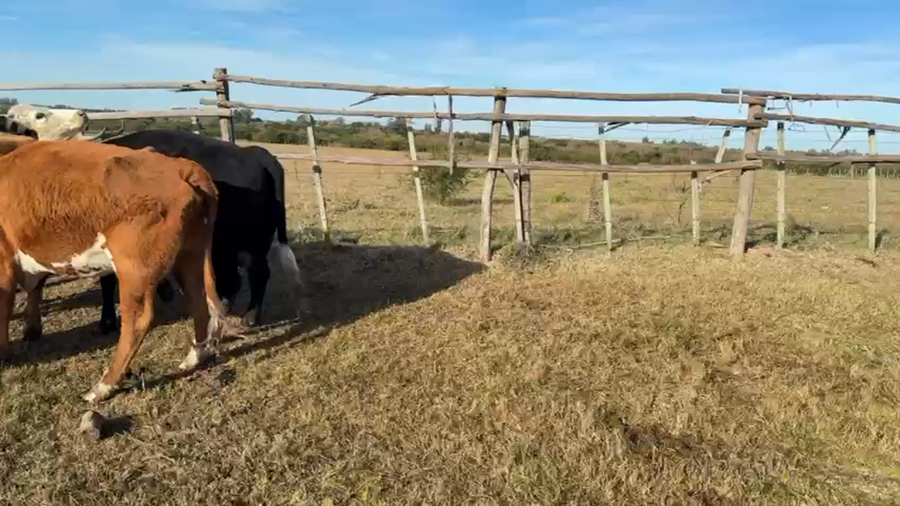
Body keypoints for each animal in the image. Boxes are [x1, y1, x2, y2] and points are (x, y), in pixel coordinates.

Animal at [0, 139, 238, 403]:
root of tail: (182, 167)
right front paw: (31, 331)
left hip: (134, 268)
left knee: (137, 321)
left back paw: (103, 387)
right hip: (189, 256)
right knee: (198, 301)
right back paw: (194, 358)